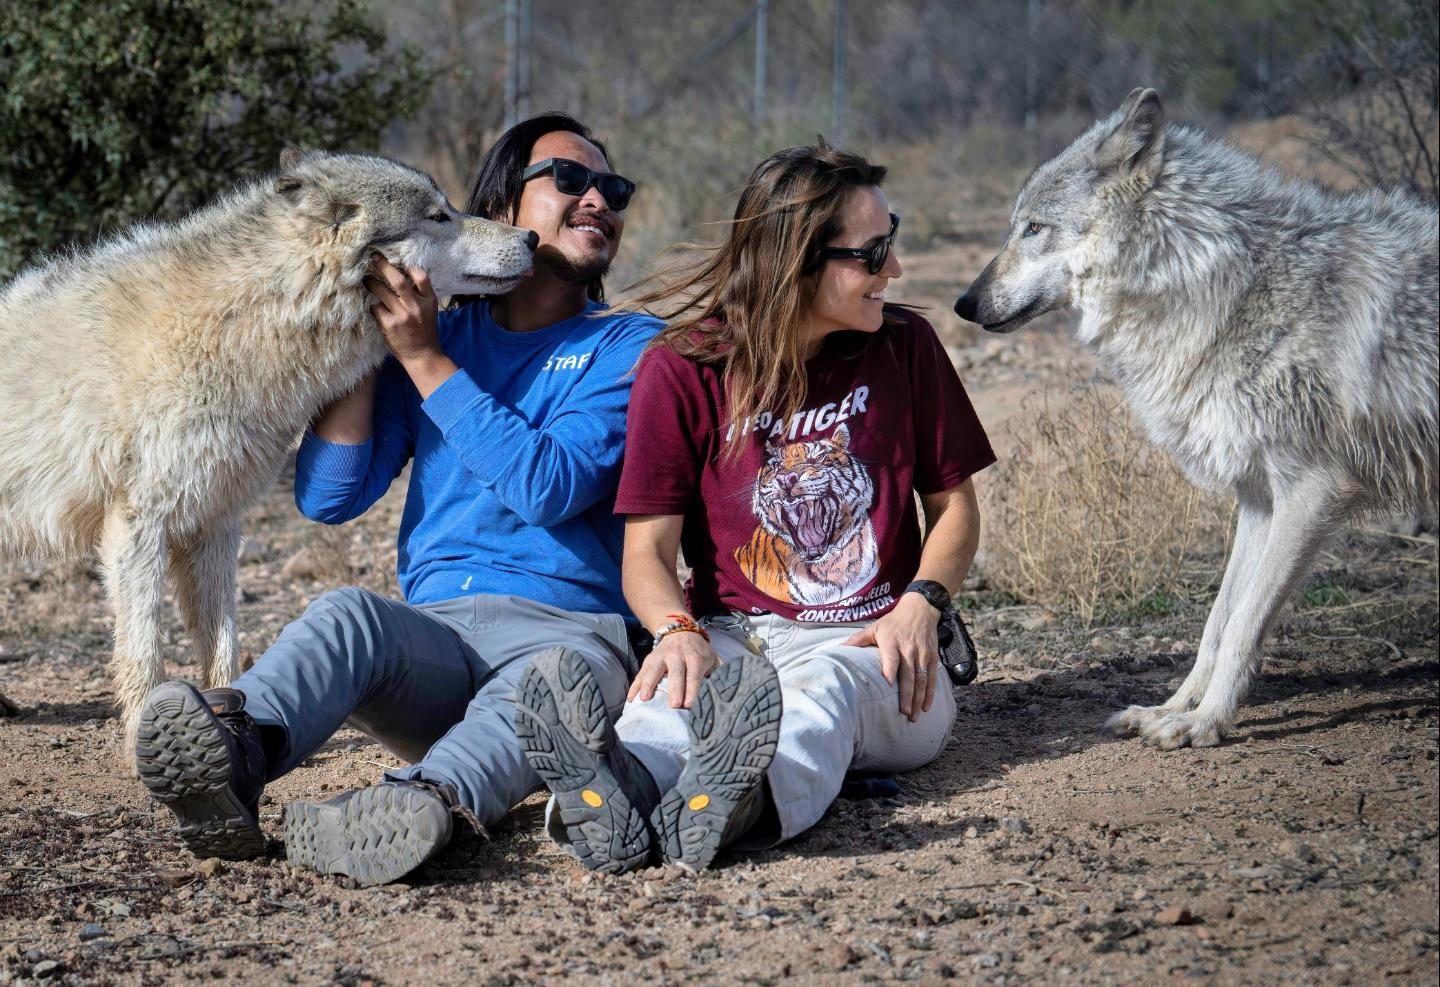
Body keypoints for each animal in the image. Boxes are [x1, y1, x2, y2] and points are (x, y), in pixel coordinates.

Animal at [0, 149, 535, 742]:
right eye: (439, 216)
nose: (533, 238)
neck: (246, 325)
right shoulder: (138, 526)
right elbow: (143, 652)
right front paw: (146, 734)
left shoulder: (215, 521)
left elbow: (223, 648)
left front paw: (227, 716)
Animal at [955, 88, 1439, 749]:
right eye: (1016, 226)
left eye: (1034, 228)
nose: (963, 303)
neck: (1230, 286)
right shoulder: (1260, 497)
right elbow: (1218, 621)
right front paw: (1173, 708)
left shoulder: (1312, 492)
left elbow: (1242, 628)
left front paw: (1206, 723)